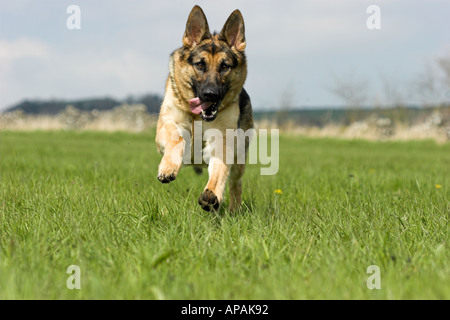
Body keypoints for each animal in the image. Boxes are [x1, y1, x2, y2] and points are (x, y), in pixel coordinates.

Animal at [156, 5, 253, 212]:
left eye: (224, 66)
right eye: (200, 65)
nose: (210, 94)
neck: (198, 118)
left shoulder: (222, 140)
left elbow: (219, 171)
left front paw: (212, 194)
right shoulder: (166, 126)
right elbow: (177, 138)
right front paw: (168, 169)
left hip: (239, 159)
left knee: (235, 183)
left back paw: (234, 210)